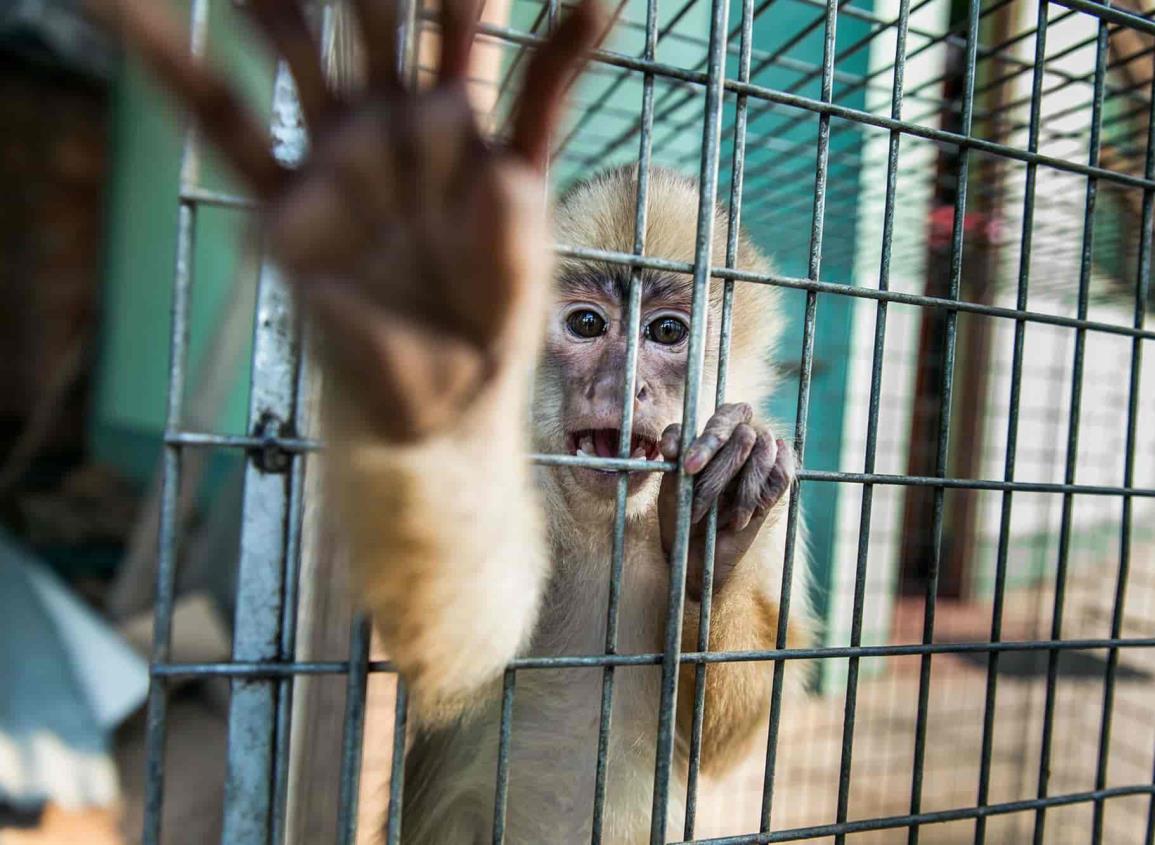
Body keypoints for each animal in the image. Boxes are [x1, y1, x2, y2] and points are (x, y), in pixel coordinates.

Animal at [87, 0, 813, 840]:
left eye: (667, 332)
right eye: (587, 324)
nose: (623, 384)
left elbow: (726, 735)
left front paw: (712, 534)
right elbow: (458, 653)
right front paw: (429, 333)